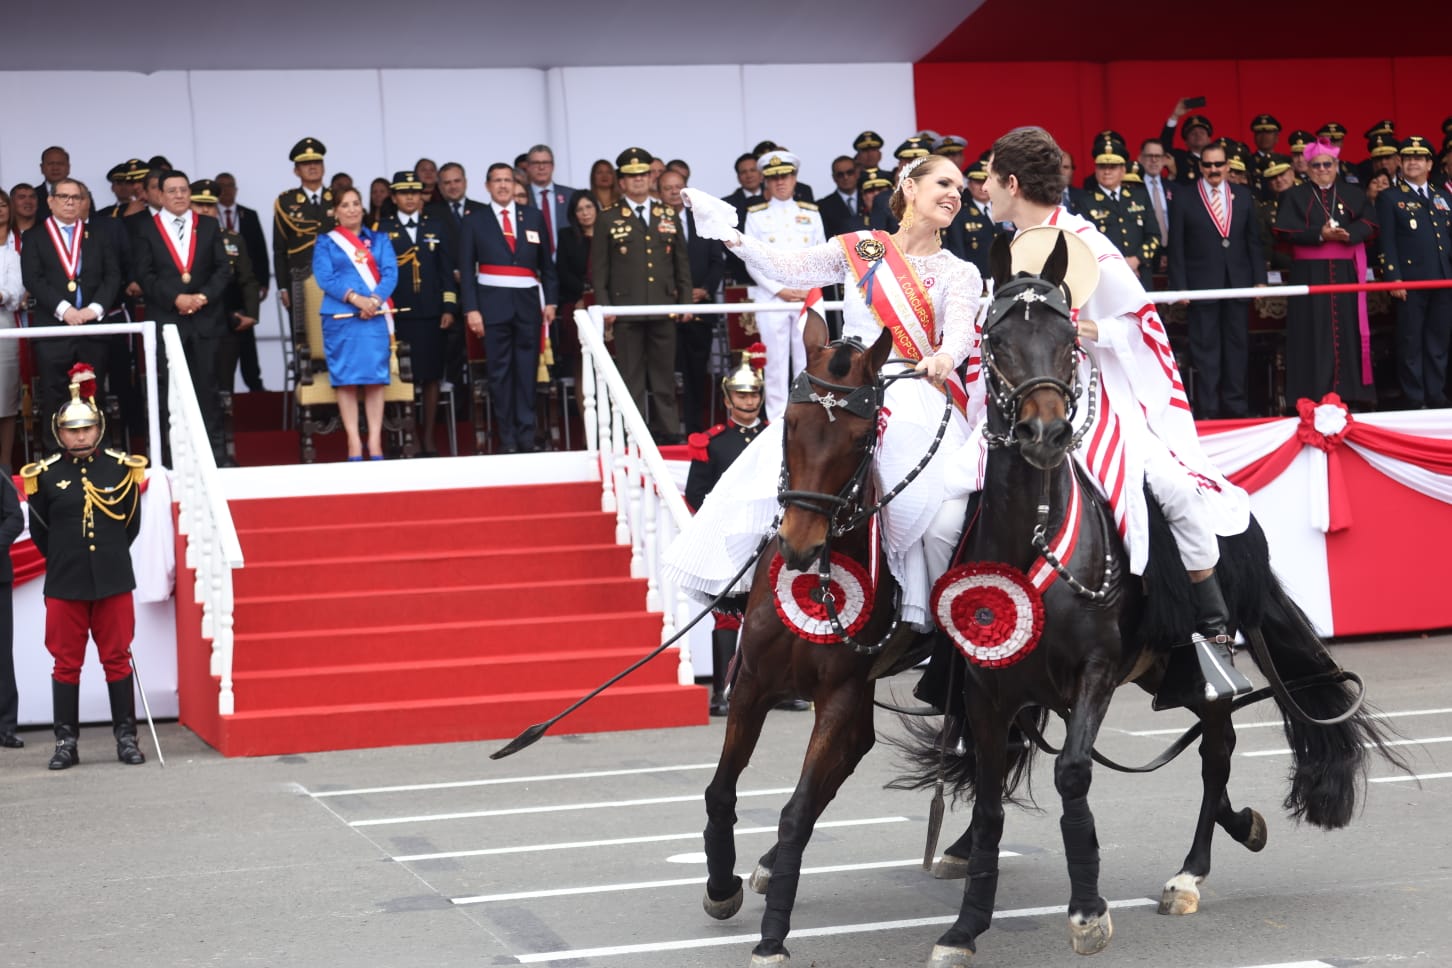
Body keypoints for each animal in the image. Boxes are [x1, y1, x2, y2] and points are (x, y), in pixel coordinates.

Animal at [900, 230, 1399, 963]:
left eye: (1068, 341)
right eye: (995, 341)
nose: (1045, 435)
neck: (1034, 541)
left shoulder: (1095, 673)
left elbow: (1073, 774)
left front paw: (1087, 911)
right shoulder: (989, 690)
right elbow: (990, 802)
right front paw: (965, 927)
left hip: (1195, 668)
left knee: (1216, 752)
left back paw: (1191, 873)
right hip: (1162, 671)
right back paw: (1239, 827)